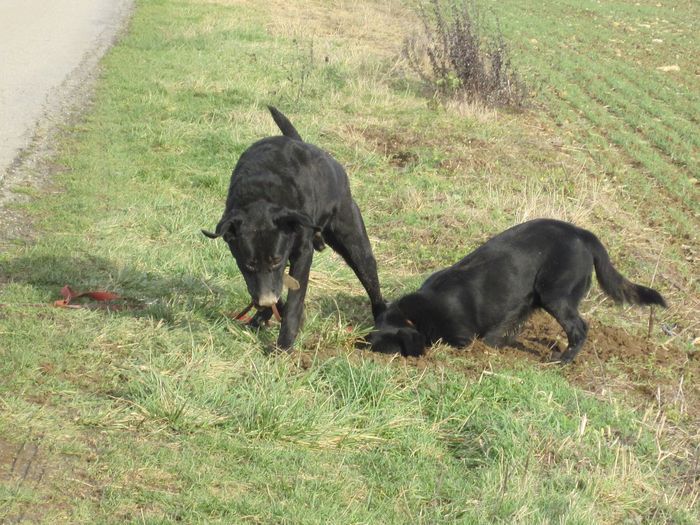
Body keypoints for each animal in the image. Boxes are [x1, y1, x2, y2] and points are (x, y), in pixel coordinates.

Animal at [202, 106, 386, 350]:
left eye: (276, 260)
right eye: (249, 264)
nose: (265, 301)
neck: (262, 194)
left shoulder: (301, 254)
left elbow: (293, 301)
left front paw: (285, 342)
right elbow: (274, 289)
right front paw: (268, 314)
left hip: (354, 241)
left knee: (372, 281)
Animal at [370, 219, 664, 362]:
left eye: (384, 347)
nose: (364, 349)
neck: (415, 315)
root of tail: (583, 234)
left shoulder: (461, 337)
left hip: (555, 295)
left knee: (579, 329)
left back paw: (562, 360)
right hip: (535, 298)